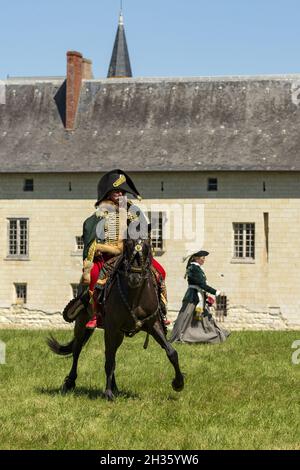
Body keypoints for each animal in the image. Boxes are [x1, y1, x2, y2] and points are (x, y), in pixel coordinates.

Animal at [47, 237, 184, 402]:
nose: (134, 278)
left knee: (110, 354)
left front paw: (178, 383)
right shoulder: (111, 328)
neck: (135, 297)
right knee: (78, 350)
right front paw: (107, 392)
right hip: (83, 325)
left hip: (118, 335)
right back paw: (71, 382)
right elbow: (109, 361)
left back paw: (115, 387)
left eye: (146, 250)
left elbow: (171, 352)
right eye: (128, 251)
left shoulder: (153, 325)